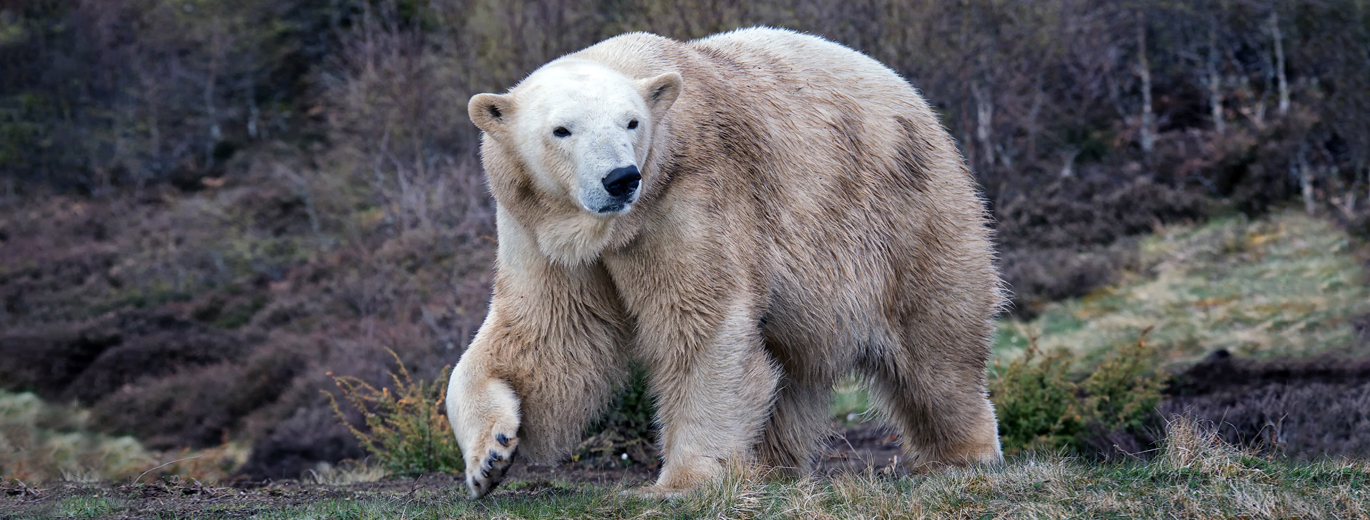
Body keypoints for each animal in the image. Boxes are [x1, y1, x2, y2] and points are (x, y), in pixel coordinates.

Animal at [447, 26, 1004, 498]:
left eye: (631, 122)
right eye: (562, 130)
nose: (621, 178)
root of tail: (915, 98)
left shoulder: (688, 198)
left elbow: (701, 322)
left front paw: (684, 481)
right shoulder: (539, 228)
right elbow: (548, 335)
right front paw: (489, 458)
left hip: (906, 214)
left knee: (936, 346)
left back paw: (964, 454)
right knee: (788, 366)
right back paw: (771, 465)